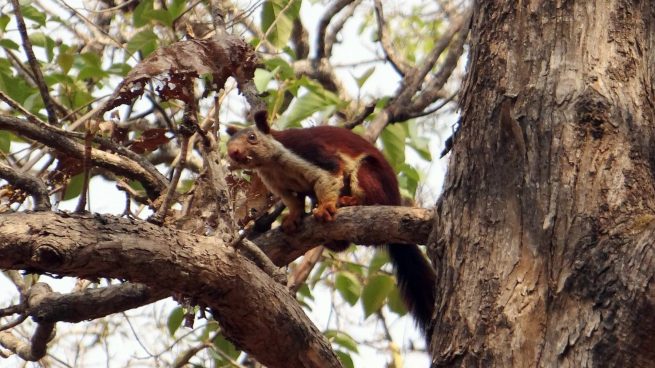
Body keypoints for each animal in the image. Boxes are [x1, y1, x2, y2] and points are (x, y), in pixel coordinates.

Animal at [228, 110, 438, 338]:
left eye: (252, 137)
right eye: (230, 141)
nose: (232, 152)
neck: (272, 164)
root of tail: (394, 200)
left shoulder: (310, 154)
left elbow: (328, 176)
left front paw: (326, 207)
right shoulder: (278, 185)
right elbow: (293, 201)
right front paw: (292, 218)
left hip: (369, 175)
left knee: (370, 195)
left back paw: (349, 201)